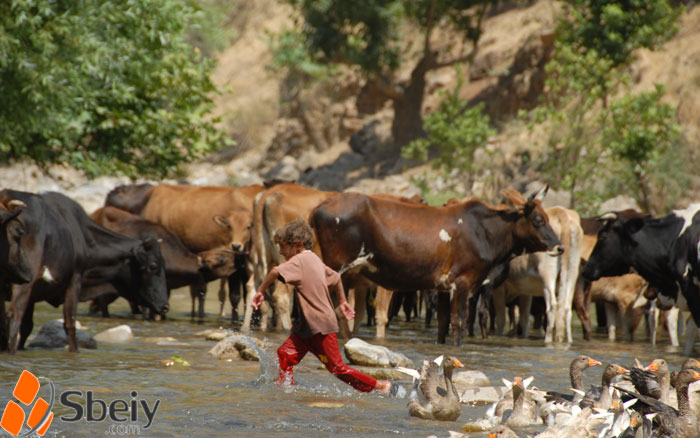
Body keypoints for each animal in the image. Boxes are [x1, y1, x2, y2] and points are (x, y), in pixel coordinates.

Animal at [0, 190, 169, 354]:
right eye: (154, 266)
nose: (165, 306)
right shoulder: (75, 281)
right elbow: (70, 323)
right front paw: (75, 352)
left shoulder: (33, 296)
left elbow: (27, 328)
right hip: (23, 283)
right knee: (14, 316)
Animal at [312, 186, 564, 344]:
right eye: (538, 220)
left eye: (547, 218)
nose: (559, 247)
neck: (485, 231)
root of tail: (320, 207)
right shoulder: (463, 282)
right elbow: (458, 321)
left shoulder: (443, 286)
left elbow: (443, 323)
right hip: (338, 270)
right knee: (337, 310)